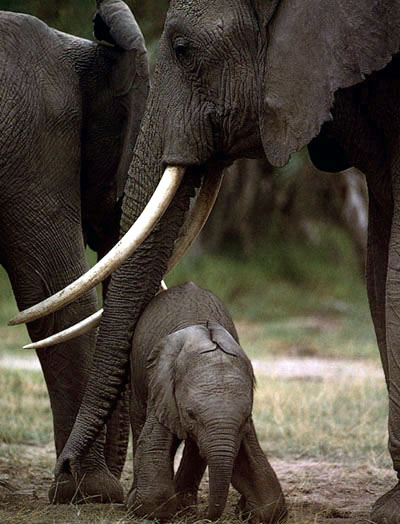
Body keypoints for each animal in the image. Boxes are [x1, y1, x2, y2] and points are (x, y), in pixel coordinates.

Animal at [126, 282, 286, 524]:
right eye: (191, 414)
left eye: (245, 419)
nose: (206, 516)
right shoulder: (161, 387)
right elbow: (154, 445)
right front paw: (143, 507)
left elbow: (264, 491)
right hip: (137, 378)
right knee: (138, 423)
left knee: (194, 447)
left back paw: (185, 507)